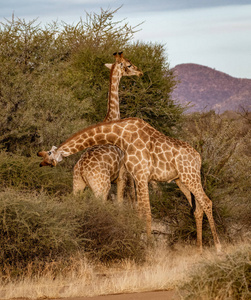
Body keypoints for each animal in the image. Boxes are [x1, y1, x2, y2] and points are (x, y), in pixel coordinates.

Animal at [37, 117, 222, 253]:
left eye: (50, 158)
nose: (42, 164)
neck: (120, 136)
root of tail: (198, 157)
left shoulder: (141, 175)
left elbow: (146, 210)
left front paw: (149, 246)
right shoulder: (136, 176)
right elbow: (139, 210)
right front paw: (138, 240)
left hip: (190, 175)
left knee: (207, 202)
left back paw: (218, 247)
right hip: (181, 179)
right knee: (197, 208)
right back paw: (199, 249)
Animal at [72, 51, 142, 202]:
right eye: (129, 64)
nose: (140, 72)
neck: (112, 118)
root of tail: (82, 170)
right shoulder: (121, 175)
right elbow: (120, 202)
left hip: (77, 186)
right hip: (101, 188)